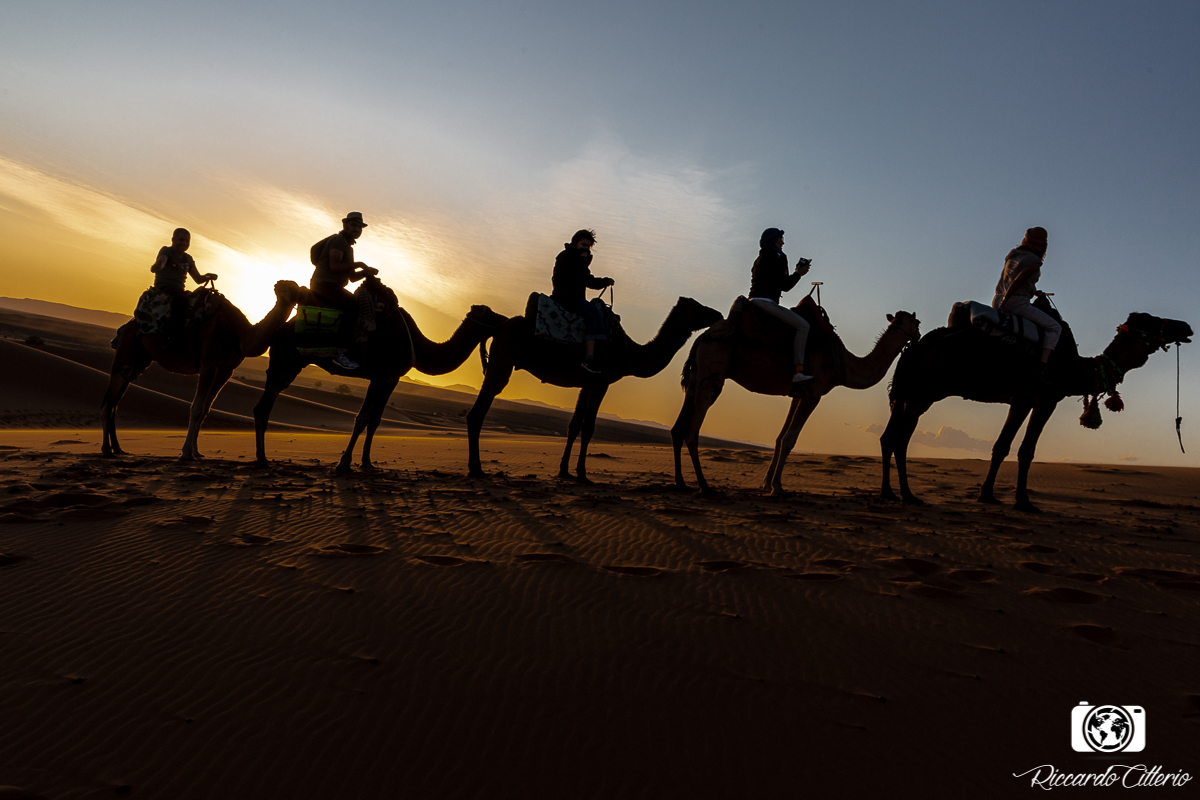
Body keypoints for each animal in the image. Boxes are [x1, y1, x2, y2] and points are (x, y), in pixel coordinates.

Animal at [102, 281, 304, 460]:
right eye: (285, 289)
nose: (299, 296)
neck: (239, 333)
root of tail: (126, 325)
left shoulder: (225, 370)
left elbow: (206, 409)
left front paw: (196, 451)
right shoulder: (209, 364)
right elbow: (197, 408)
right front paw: (186, 453)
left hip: (141, 360)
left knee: (116, 400)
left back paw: (118, 448)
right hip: (128, 347)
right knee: (109, 398)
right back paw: (106, 450)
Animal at [253, 278, 506, 472]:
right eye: (490, 314)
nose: (506, 320)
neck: (416, 344)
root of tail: (281, 329)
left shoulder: (391, 378)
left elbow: (375, 420)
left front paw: (367, 463)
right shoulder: (379, 374)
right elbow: (362, 418)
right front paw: (344, 463)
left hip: (288, 365)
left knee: (265, 403)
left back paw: (262, 458)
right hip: (286, 361)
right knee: (263, 405)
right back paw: (262, 460)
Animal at [463, 296, 715, 479]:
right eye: (698, 307)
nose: (718, 314)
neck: (630, 353)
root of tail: (500, 325)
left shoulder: (587, 383)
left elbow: (574, 425)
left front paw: (564, 471)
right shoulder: (602, 381)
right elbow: (589, 427)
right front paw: (583, 474)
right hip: (503, 359)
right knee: (479, 410)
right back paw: (476, 469)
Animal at [672, 307, 921, 494]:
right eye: (917, 322)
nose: (919, 336)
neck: (843, 362)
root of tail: (702, 336)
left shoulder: (797, 395)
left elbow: (779, 437)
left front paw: (767, 483)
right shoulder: (813, 394)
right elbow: (790, 439)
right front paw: (777, 487)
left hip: (696, 377)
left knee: (678, 427)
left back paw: (681, 483)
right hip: (712, 373)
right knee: (692, 429)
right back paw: (704, 485)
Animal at [883, 303, 1190, 510]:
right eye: (1151, 321)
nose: (1186, 326)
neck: (1074, 369)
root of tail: (912, 349)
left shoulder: (1022, 401)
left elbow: (1002, 447)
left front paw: (988, 495)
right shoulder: (1045, 399)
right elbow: (1025, 450)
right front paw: (1023, 501)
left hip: (906, 394)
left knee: (890, 436)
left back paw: (893, 493)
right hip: (923, 392)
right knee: (901, 438)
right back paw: (909, 495)